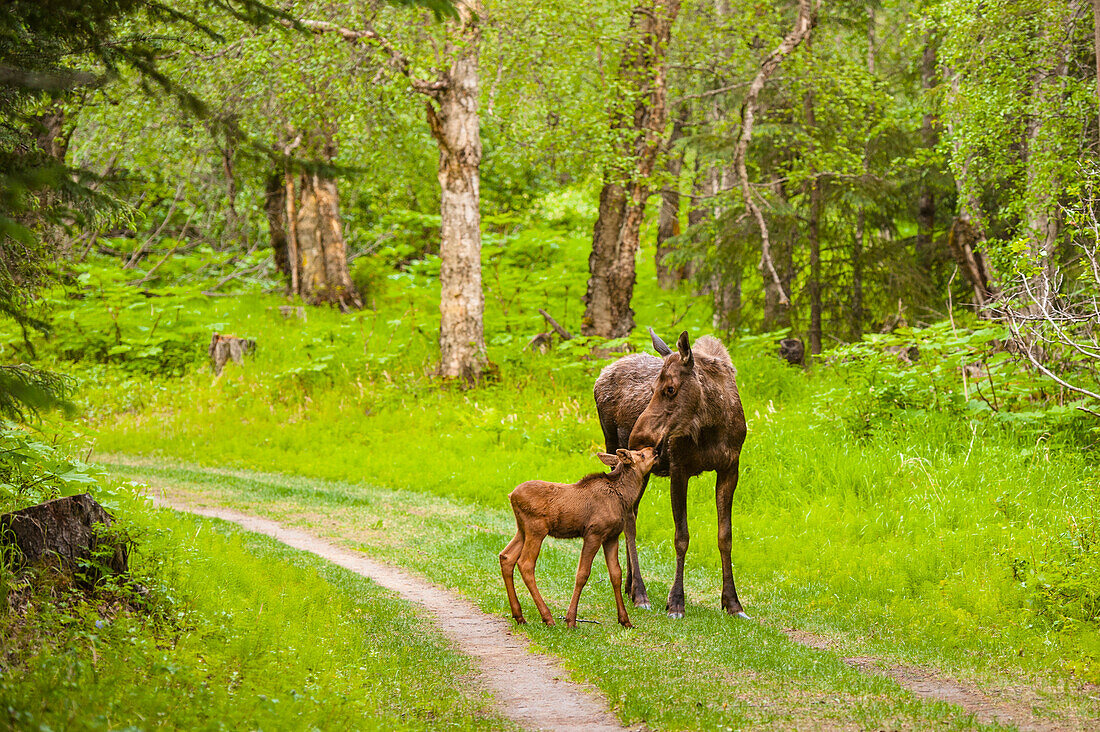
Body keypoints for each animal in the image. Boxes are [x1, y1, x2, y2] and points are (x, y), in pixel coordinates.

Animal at [503, 444, 655, 629]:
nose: (654, 450)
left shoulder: (612, 536)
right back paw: (547, 617)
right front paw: (571, 620)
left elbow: (616, 574)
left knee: (506, 556)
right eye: (641, 454)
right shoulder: (594, 533)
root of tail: (512, 496)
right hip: (536, 529)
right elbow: (582, 574)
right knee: (525, 563)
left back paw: (519, 615)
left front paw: (625, 620)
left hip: (522, 529)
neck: (624, 497)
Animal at [594, 330, 748, 616]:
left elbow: (725, 536)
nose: (635, 440)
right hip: (615, 450)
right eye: (651, 389)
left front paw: (733, 602)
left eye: (670, 389)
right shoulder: (679, 469)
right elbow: (681, 536)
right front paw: (676, 601)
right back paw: (640, 592)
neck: (712, 426)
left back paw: (630, 586)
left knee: (632, 512)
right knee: (628, 518)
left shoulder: (730, 468)